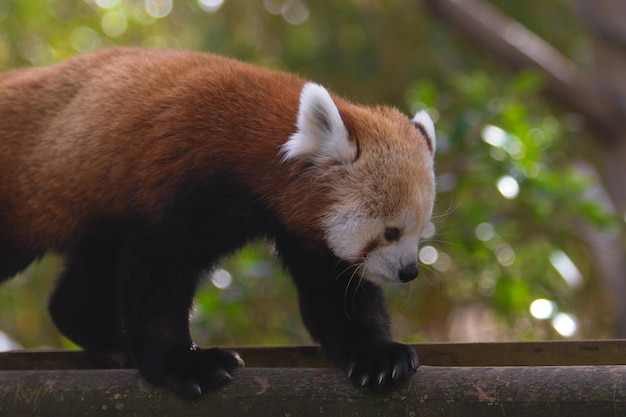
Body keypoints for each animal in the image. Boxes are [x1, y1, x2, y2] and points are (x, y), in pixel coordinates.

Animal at [0, 48, 436, 396]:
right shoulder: (185, 183)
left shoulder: (299, 224)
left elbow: (334, 292)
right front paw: (184, 364)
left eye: (418, 232)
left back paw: (107, 340)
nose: (409, 272)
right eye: (390, 232)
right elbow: (156, 277)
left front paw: (378, 356)